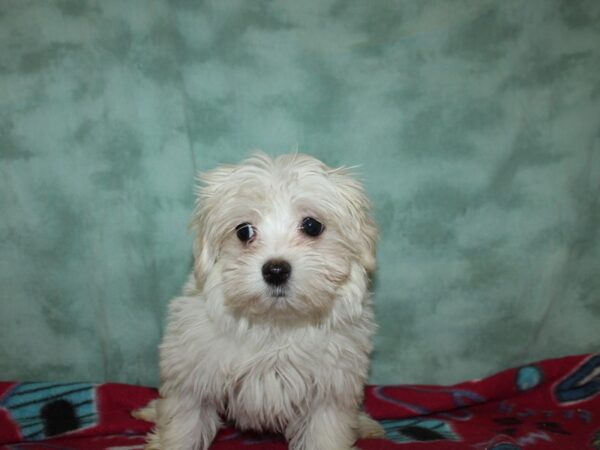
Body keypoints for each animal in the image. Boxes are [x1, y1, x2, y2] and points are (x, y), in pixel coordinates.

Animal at [134, 153, 382, 448]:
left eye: (312, 225)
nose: (275, 270)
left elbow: (325, 435)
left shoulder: (330, 391)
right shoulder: (192, 379)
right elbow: (182, 427)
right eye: (244, 231)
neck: (274, 324)